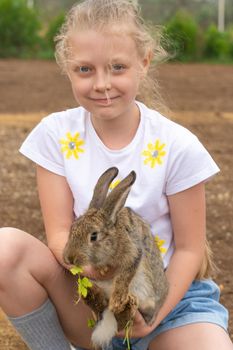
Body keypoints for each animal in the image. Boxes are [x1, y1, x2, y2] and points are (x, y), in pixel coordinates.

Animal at [62, 168, 168, 348]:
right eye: (72, 228)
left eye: (94, 236)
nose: (69, 258)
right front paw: (102, 269)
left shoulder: (133, 254)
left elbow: (123, 277)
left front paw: (117, 301)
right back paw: (93, 296)